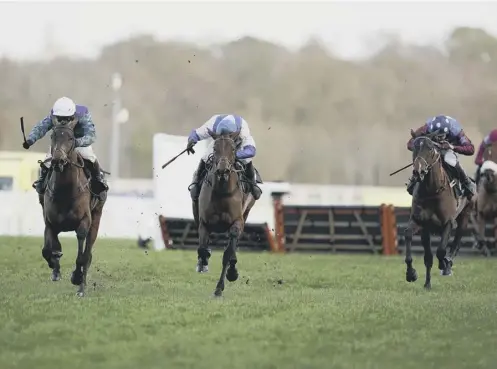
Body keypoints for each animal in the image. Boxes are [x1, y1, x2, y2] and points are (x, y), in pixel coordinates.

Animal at [40, 121, 106, 296]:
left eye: (71, 138)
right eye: (52, 135)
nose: (57, 160)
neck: (65, 190)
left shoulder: (84, 222)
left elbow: (82, 256)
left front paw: (77, 278)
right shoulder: (50, 222)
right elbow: (48, 249)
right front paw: (55, 267)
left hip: (96, 219)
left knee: (87, 254)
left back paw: (81, 286)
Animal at [195, 128, 256, 294]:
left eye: (233, 149)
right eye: (215, 148)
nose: (223, 170)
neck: (222, 191)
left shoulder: (237, 222)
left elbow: (228, 254)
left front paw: (222, 285)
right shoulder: (204, 223)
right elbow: (202, 249)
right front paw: (203, 262)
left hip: (246, 212)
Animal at [404, 131, 474, 288]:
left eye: (430, 148)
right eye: (414, 147)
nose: (418, 171)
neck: (432, 191)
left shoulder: (448, 223)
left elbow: (441, 251)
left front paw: (444, 265)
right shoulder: (421, 223)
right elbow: (423, 252)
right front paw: (414, 275)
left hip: (465, 215)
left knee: (457, 241)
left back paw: (448, 263)